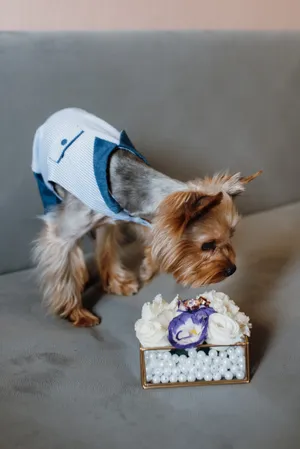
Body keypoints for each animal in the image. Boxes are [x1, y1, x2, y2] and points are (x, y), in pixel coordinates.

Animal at [31, 108, 260, 326]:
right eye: (207, 245)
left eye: (231, 236)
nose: (232, 270)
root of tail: (58, 114)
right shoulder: (62, 233)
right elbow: (62, 268)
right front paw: (75, 312)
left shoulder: (125, 216)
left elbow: (127, 243)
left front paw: (142, 271)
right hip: (46, 187)